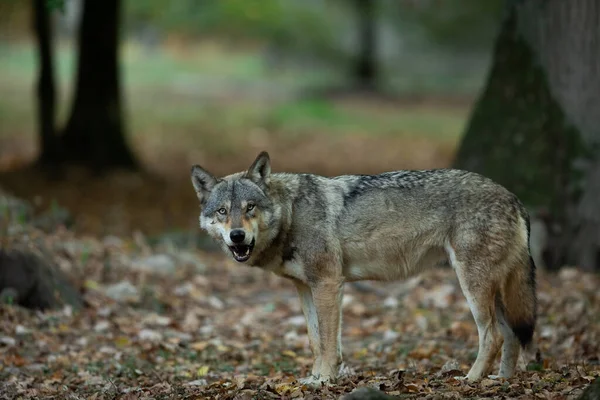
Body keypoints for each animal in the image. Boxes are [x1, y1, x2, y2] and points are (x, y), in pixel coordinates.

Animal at [192, 152, 540, 386]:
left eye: (249, 208)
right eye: (222, 211)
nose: (237, 236)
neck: (290, 212)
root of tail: (515, 199)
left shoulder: (328, 283)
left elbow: (328, 341)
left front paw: (324, 380)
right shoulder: (305, 287)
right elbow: (316, 339)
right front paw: (315, 378)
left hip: (473, 285)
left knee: (493, 336)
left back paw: (470, 379)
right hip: (495, 290)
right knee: (511, 335)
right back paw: (501, 381)